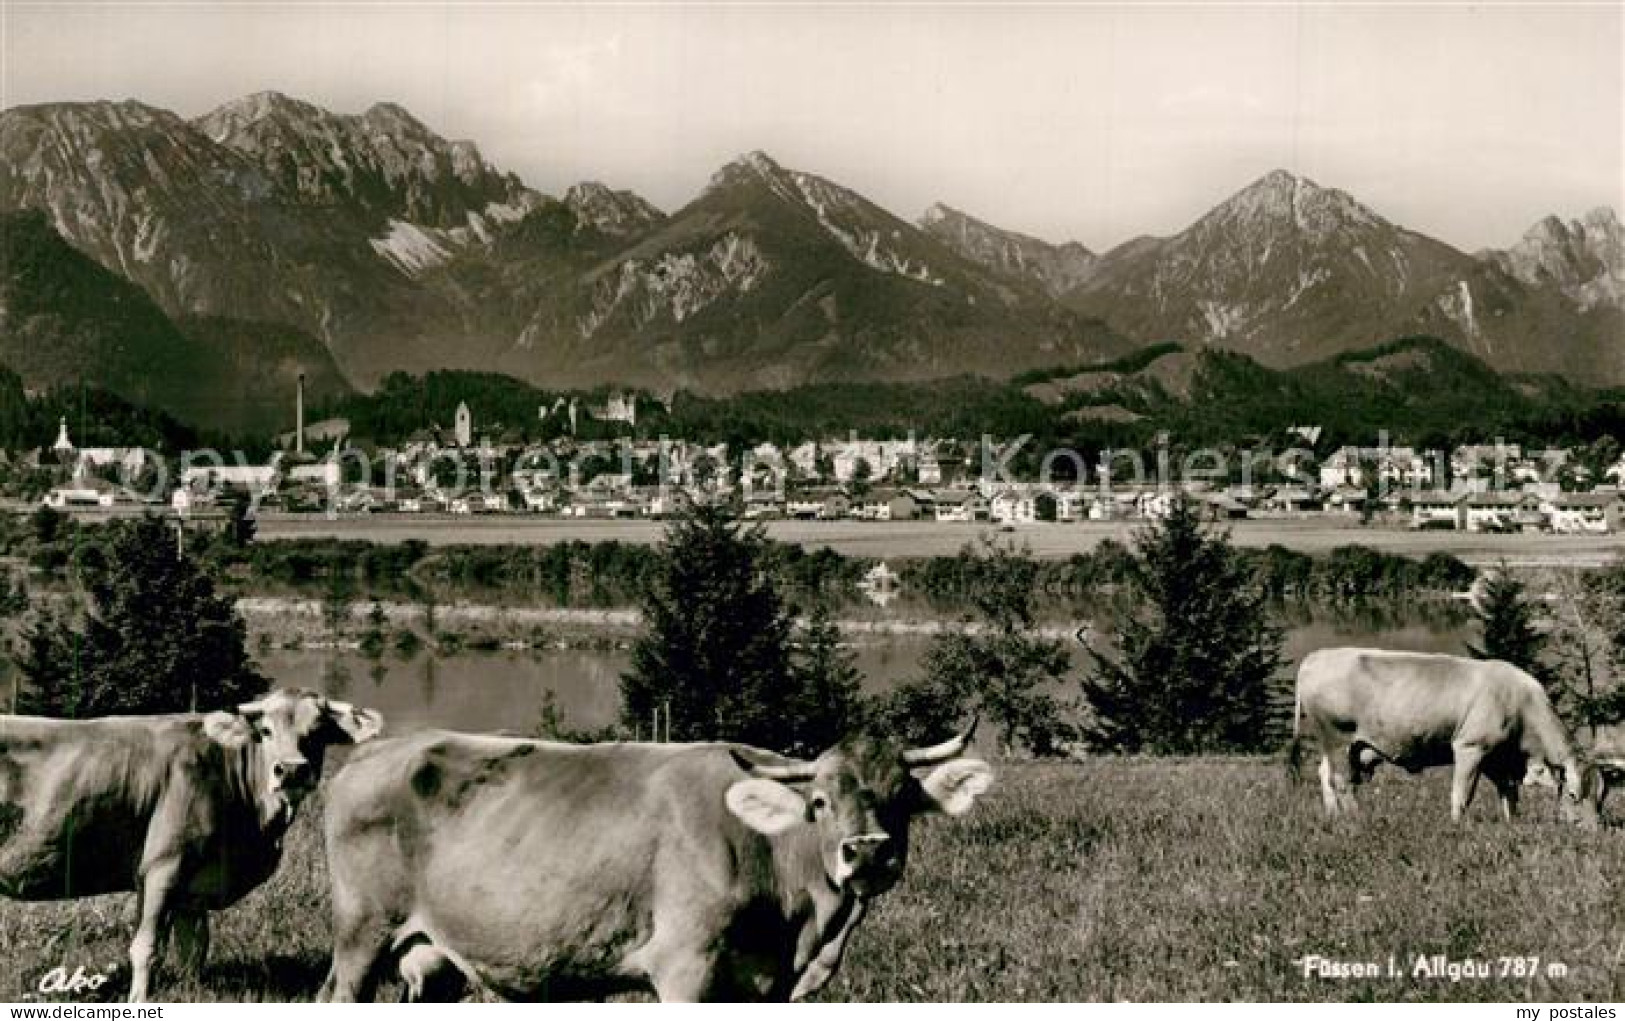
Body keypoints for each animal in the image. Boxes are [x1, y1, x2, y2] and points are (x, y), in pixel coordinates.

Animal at [0, 689, 383, 1001]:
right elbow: (147, 948)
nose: (290, 770)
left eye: (317, 732)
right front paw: (138, 1000)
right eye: (266, 731)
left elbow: (193, 950)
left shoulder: (195, 882)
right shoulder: (164, 866)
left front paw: (189, 993)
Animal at [316, 721, 988, 1001]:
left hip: (434, 957)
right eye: (818, 803)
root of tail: (380, 749)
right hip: (361, 932)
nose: (867, 851)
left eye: (903, 799)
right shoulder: (686, 970)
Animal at [1293, 650, 1599, 825]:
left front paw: (1512, 823)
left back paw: (1333, 817)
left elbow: (1509, 792)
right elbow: (1462, 792)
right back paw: (1356, 819)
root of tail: (1316, 656)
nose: (1590, 829)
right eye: (1573, 794)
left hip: (1342, 746)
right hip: (1338, 738)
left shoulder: (1498, 758)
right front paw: (1457, 825)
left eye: (1599, 797)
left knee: (1324, 775)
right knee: (1341, 781)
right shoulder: (1471, 746)